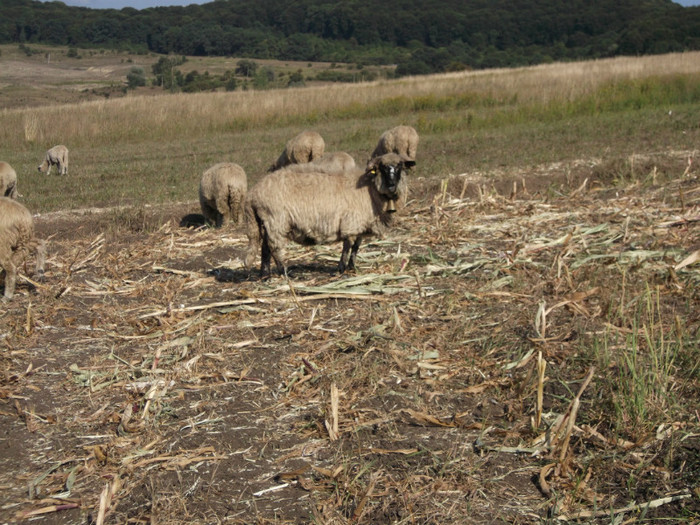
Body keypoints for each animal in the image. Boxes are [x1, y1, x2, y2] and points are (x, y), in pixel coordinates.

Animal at [243, 151, 412, 276]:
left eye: (399, 166)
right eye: (383, 167)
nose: (392, 185)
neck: (370, 190)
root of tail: (253, 194)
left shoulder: (361, 224)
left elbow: (356, 247)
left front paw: (352, 267)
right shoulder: (351, 222)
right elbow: (348, 245)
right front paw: (342, 268)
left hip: (267, 222)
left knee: (265, 246)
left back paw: (265, 274)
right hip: (276, 219)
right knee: (274, 247)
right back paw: (284, 272)